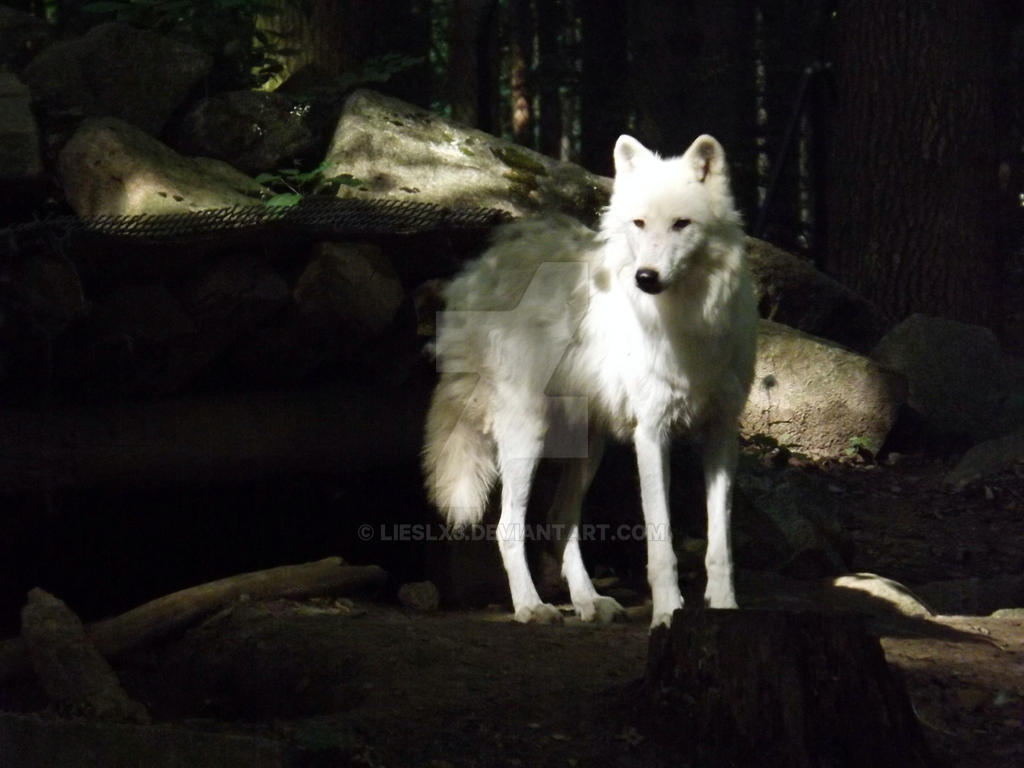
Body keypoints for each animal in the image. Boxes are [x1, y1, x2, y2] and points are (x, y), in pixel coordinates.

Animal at [423, 134, 757, 628]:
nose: (645, 278)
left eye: (681, 224)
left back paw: (587, 601)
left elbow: (721, 544)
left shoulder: (721, 434)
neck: (688, 321)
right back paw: (531, 606)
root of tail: (479, 270)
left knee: (560, 523)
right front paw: (667, 615)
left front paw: (726, 608)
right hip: (527, 434)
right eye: (640, 223)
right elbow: (661, 544)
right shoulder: (651, 434)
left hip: (588, 445)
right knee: (509, 526)